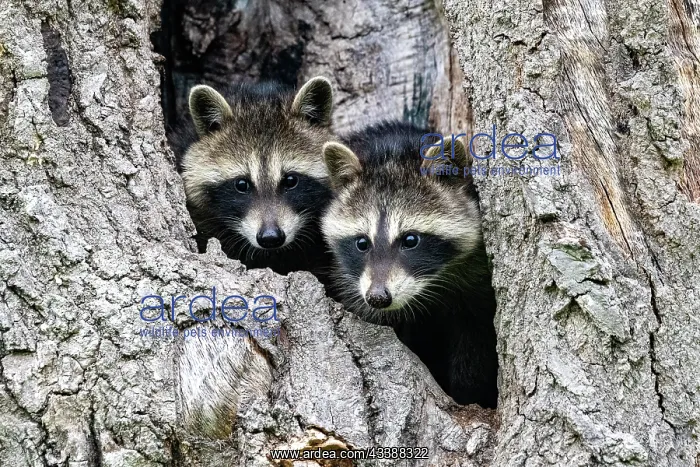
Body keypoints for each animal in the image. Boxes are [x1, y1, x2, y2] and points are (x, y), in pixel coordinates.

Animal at [321, 121, 498, 408]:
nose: (378, 297)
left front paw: (469, 392)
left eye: (410, 240)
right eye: (362, 243)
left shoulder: (476, 281)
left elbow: (476, 337)